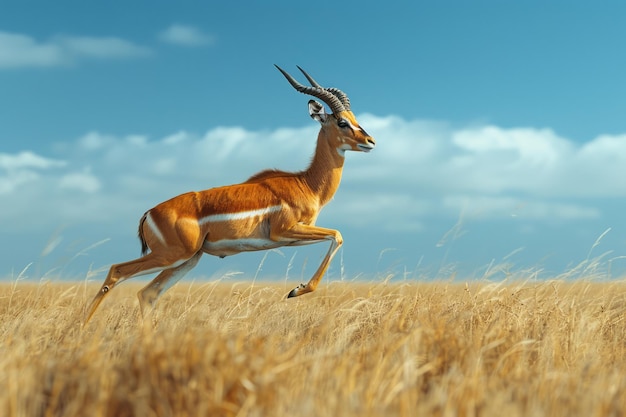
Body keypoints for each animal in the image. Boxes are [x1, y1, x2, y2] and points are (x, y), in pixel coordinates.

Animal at [84, 65, 376, 324]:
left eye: (355, 119)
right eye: (342, 122)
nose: (370, 141)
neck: (306, 183)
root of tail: (149, 213)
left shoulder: (293, 236)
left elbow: (334, 236)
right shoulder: (284, 232)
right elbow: (337, 235)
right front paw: (295, 290)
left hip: (187, 259)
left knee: (148, 293)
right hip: (172, 255)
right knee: (116, 271)